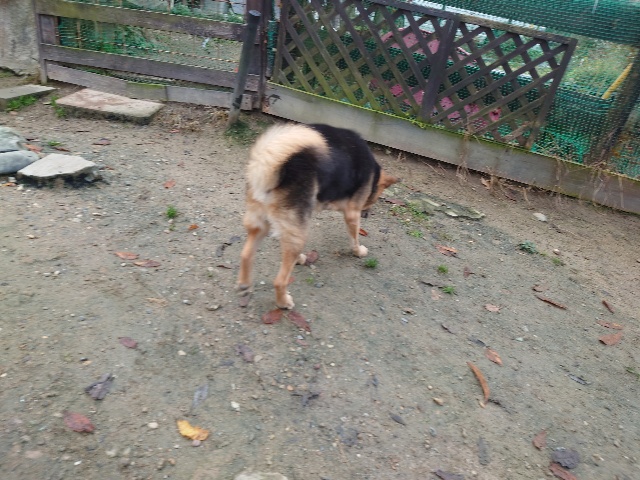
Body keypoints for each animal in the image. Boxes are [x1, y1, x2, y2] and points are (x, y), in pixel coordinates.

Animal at [237, 123, 398, 309]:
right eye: (376, 197)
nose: (367, 215)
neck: (373, 173)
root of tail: (267, 168)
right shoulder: (352, 213)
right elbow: (355, 238)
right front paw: (359, 251)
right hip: (298, 232)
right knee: (280, 280)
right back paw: (284, 302)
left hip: (264, 224)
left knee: (246, 255)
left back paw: (246, 284)